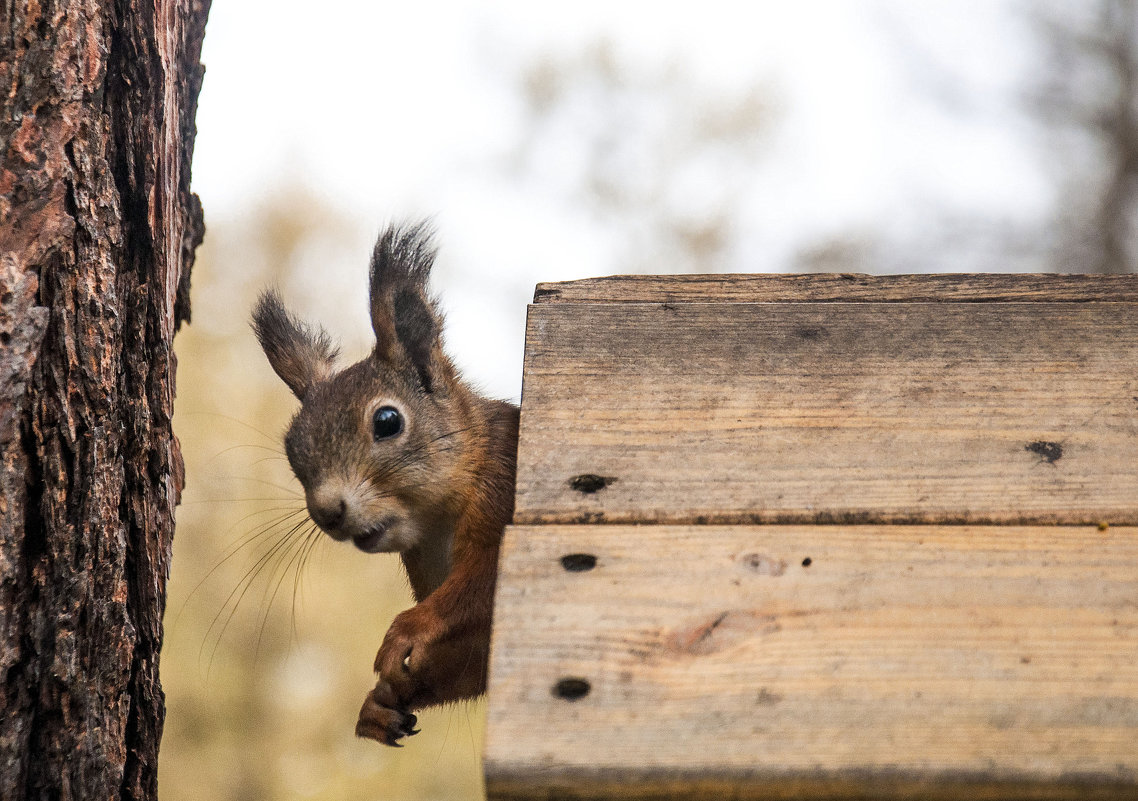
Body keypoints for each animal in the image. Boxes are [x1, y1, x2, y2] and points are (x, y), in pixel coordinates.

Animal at [252, 221, 521, 746]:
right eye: (291, 447)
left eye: (388, 421)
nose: (328, 512)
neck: (436, 525)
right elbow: (474, 663)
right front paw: (380, 704)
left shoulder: (503, 490)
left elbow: (487, 580)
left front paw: (408, 629)